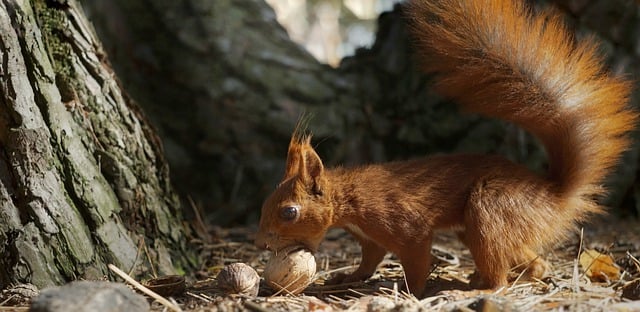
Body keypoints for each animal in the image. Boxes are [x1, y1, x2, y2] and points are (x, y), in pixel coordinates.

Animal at [254, 0, 636, 296]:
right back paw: (514, 276)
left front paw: (411, 292)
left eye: (289, 212)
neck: (350, 199)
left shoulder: (402, 224)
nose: (261, 244)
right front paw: (348, 277)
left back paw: (480, 288)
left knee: (499, 270)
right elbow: (370, 259)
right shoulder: (370, 238)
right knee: (534, 260)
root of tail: (554, 194)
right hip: (481, 227)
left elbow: (416, 258)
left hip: (491, 209)